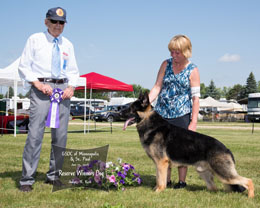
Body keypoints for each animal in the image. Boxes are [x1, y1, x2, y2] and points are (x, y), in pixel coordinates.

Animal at [121, 92, 254, 198]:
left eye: (130, 108)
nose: (118, 112)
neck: (150, 122)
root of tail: (227, 149)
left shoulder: (161, 163)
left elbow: (161, 180)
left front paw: (158, 191)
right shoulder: (159, 164)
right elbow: (159, 178)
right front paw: (156, 189)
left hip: (223, 173)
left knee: (248, 181)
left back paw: (250, 197)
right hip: (204, 172)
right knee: (214, 188)